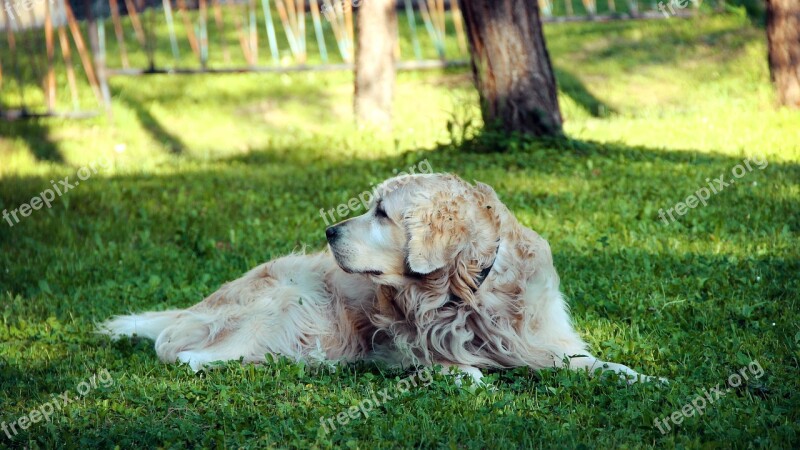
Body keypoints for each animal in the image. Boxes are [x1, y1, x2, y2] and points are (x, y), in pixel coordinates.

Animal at [100, 172, 660, 384]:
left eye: (381, 213)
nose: (328, 230)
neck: (462, 293)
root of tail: (193, 308)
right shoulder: (397, 346)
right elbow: (459, 366)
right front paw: (463, 373)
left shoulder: (536, 340)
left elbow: (590, 362)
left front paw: (640, 375)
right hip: (298, 306)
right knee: (190, 356)